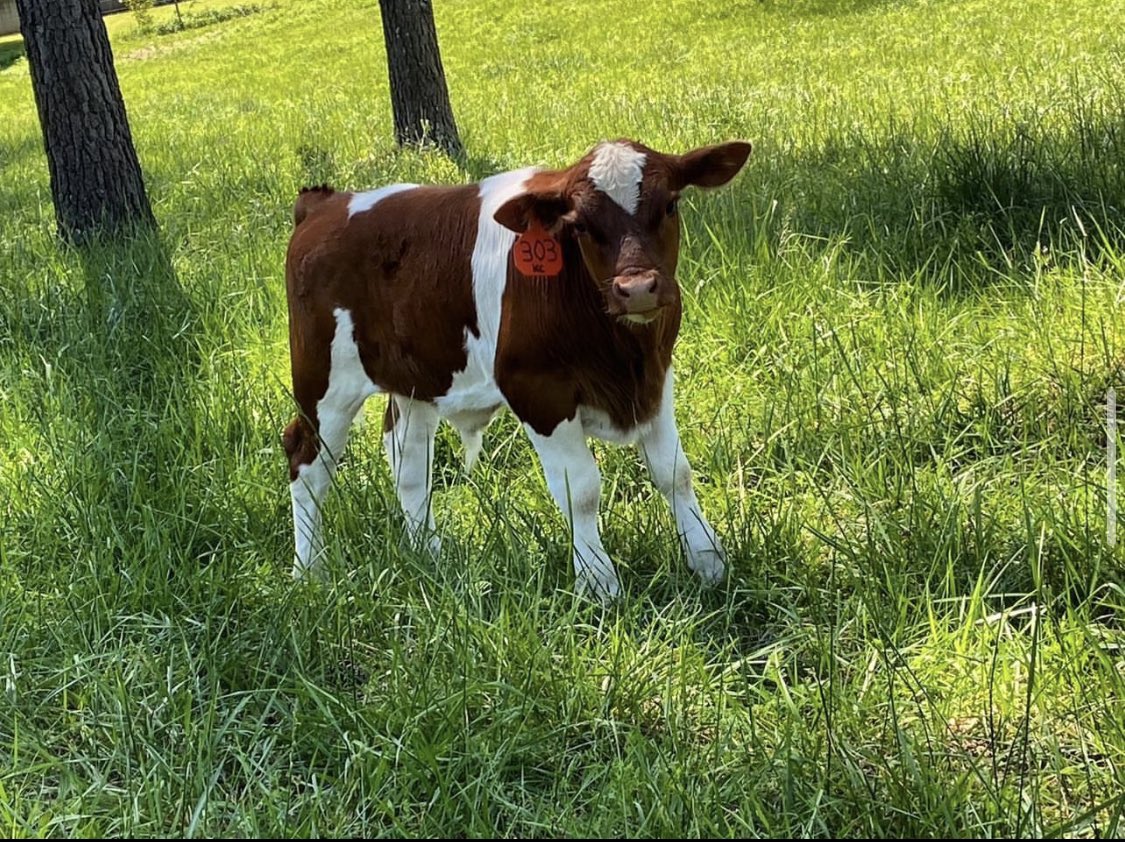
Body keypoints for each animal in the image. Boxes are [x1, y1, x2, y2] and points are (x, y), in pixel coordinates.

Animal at [282, 139, 752, 599]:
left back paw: (429, 554)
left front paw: (709, 563)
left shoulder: (657, 377)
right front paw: (599, 585)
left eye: (670, 205)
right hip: (322, 382)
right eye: (580, 225)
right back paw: (309, 573)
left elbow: (675, 472)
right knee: (306, 461)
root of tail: (325, 203)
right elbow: (581, 489)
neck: (625, 355)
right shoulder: (536, 390)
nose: (636, 289)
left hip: (416, 379)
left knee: (408, 461)